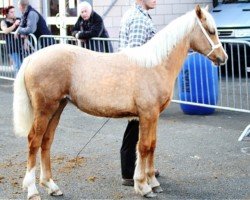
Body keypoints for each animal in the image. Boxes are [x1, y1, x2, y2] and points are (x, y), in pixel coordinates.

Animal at [12, 5, 228, 199]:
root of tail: (32, 58)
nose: (223, 57)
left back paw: (51, 186)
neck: (155, 64)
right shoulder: (148, 114)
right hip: (44, 110)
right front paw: (143, 186)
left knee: (46, 142)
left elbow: (152, 145)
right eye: (211, 31)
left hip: (57, 108)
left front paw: (153, 182)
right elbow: (144, 147)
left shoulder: (153, 116)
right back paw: (32, 191)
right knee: (34, 141)